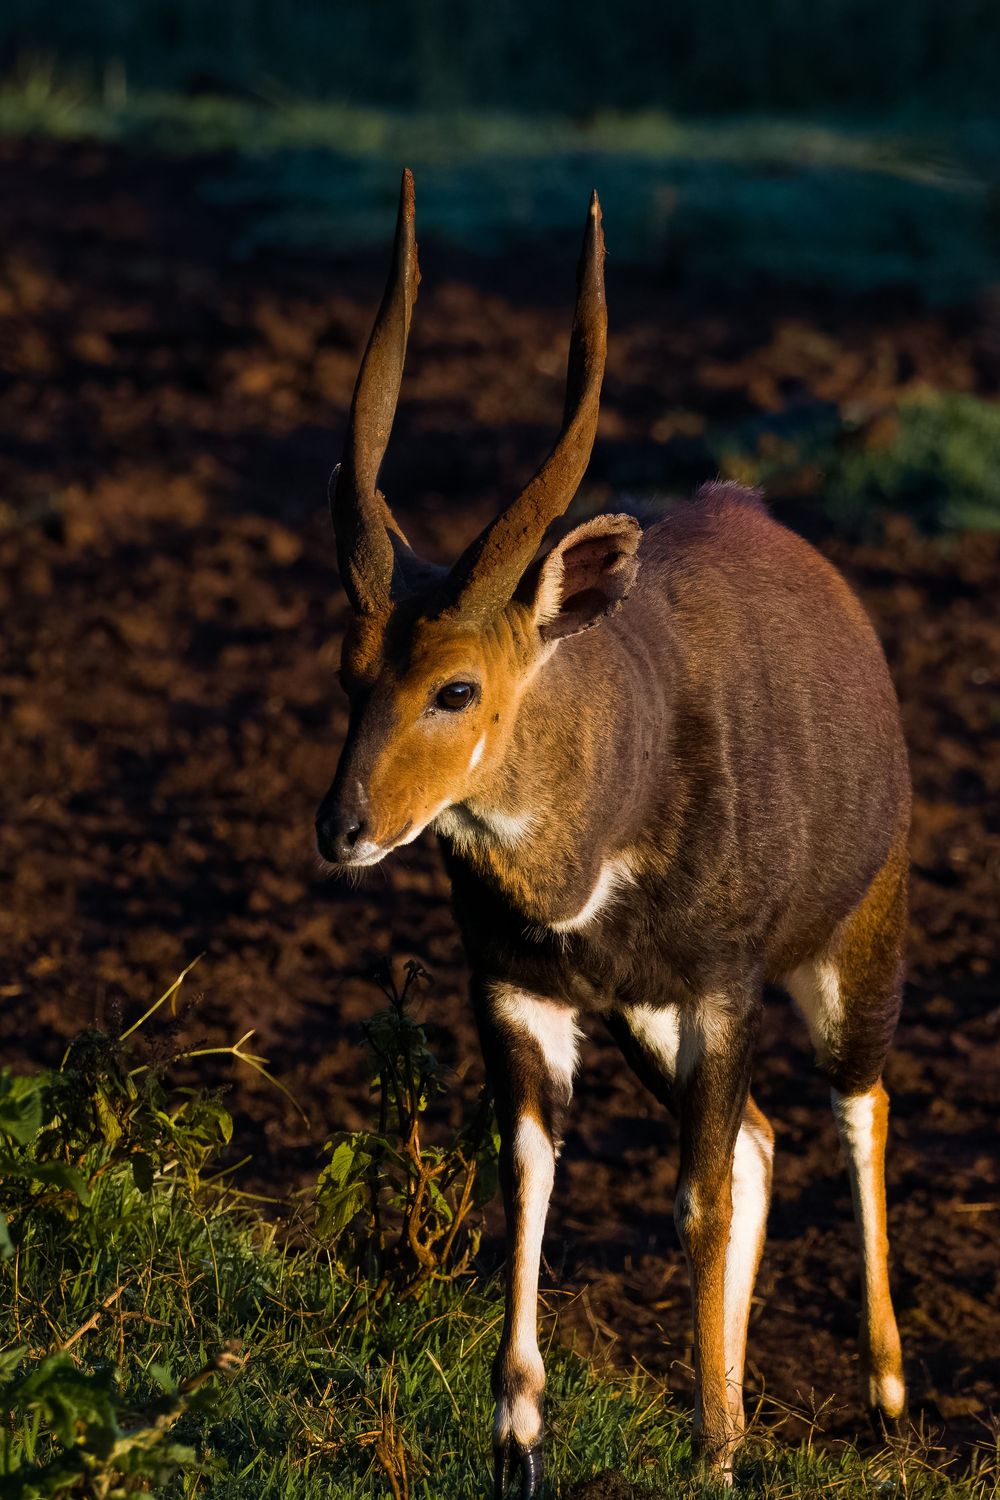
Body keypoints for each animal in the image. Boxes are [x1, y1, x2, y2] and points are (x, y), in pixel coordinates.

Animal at [316, 171, 909, 1495]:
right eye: (348, 672)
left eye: (455, 688)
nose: (343, 827)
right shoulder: (521, 992)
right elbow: (531, 1173)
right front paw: (519, 1444)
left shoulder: (722, 990)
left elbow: (694, 1198)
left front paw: (717, 1454)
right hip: (646, 1021)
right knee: (760, 1138)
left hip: (852, 946)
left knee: (855, 1107)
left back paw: (887, 1404)